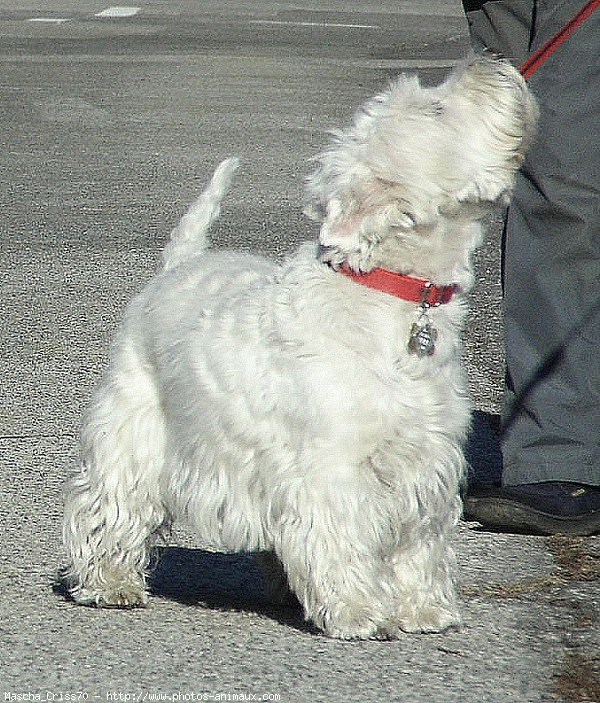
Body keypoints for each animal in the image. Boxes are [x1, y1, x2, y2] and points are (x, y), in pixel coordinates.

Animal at [63, 57, 536, 640]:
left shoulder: (426, 458)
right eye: (436, 107)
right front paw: (360, 613)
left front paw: (424, 610)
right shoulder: (333, 467)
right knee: (110, 503)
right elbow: (342, 536)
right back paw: (109, 584)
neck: (391, 292)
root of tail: (177, 266)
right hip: (134, 427)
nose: (487, 61)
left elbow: (417, 542)